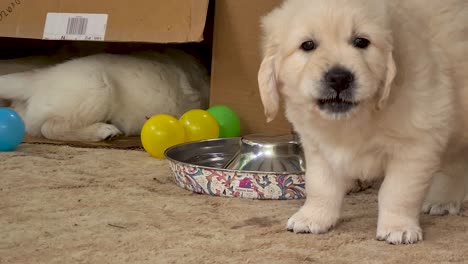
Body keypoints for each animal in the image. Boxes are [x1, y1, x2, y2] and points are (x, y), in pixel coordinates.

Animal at [258, 0, 468, 244]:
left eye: (361, 41)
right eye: (307, 45)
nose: (339, 78)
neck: (355, 119)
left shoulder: (415, 146)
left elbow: (397, 192)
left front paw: (398, 227)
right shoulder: (318, 146)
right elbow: (320, 185)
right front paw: (313, 217)